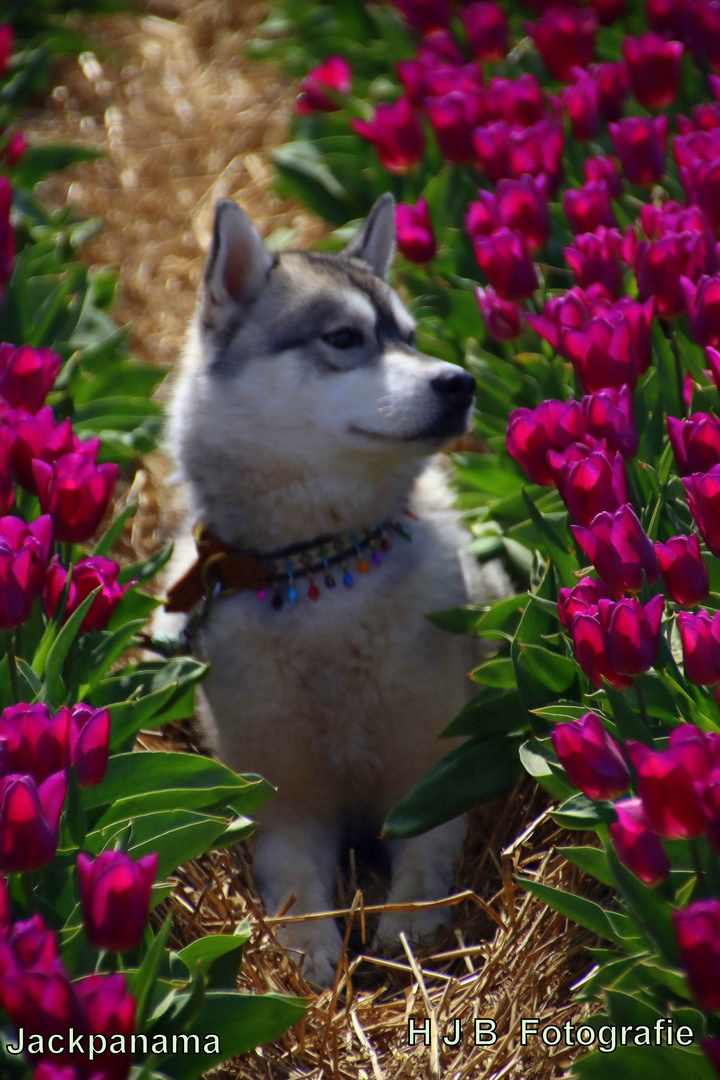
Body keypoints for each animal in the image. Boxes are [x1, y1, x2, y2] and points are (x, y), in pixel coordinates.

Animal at [164, 194, 509, 989]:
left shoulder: (433, 779)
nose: (460, 382)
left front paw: (407, 929)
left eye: (410, 338)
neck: (323, 575)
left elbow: (424, 870)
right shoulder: (287, 804)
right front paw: (309, 952)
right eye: (345, 337)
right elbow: (294, 884)